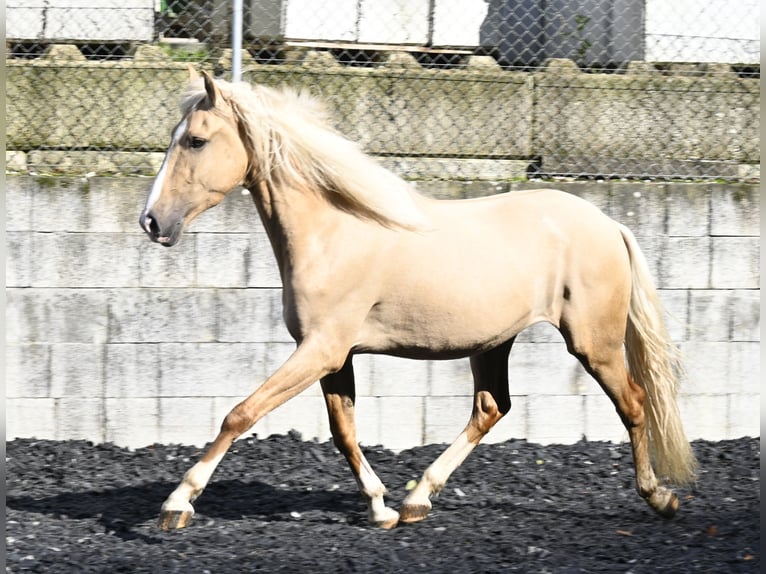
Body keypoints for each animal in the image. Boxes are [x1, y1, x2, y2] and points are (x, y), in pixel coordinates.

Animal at [138, 70, 696, 532]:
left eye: (196, 139)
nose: (151, 221)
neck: (334, 232)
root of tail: (609, 224)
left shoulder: (320, 350)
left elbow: (241, 413)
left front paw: (177, 503)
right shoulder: (334, 356)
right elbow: (343, 432)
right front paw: (381, 508)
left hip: (592, 343)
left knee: (634, 403)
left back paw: (660, 498)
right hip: (493, 342)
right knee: (492, 407)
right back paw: (416, 500)